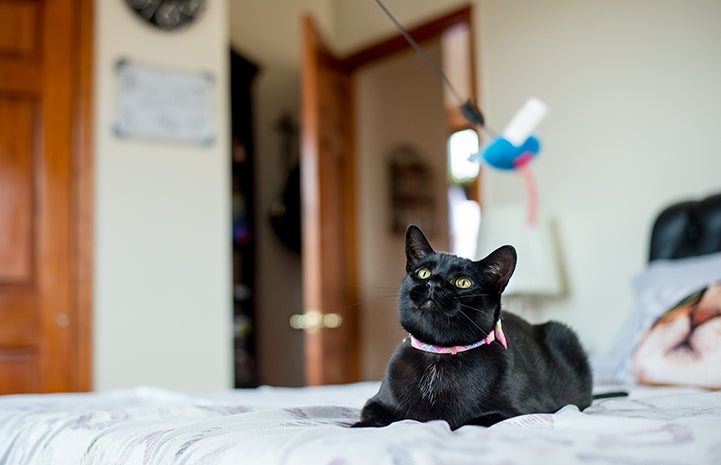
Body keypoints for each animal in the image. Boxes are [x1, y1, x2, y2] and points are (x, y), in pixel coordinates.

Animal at [352, 224, 592, 428]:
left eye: (463, 282)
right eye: (423, 273)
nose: (433, 284)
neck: (438, 356)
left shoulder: (515, 412)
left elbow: (462, 421)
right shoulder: (375, 403)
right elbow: (375, 418)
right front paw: (360, 426)